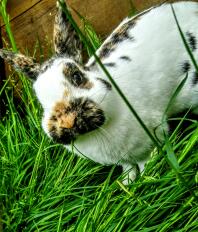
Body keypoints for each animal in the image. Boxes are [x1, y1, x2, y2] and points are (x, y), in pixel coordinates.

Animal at [0, 0, 198, 185]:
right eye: (41, 102)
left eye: (77, 77)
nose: (67, 122)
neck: (97, 132)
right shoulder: (124, 160)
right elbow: (128, 167)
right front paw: (126, 183)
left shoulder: (152, 139)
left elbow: (147, 161)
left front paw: (146, 178)